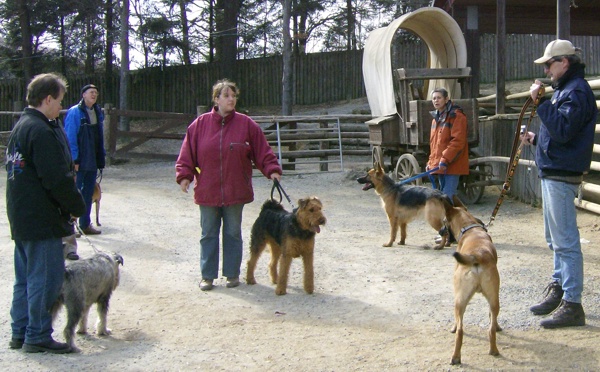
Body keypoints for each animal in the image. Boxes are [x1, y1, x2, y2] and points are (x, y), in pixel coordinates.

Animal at [442, 199, 500, 364]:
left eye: (444, 221)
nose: (440, 232)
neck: (469, 228)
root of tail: (477, 255)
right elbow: (491, 319)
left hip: (459, 301)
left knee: (460, 330)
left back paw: (455, 357)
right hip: (493, 299)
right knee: (491, 328)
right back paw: (493, 350)